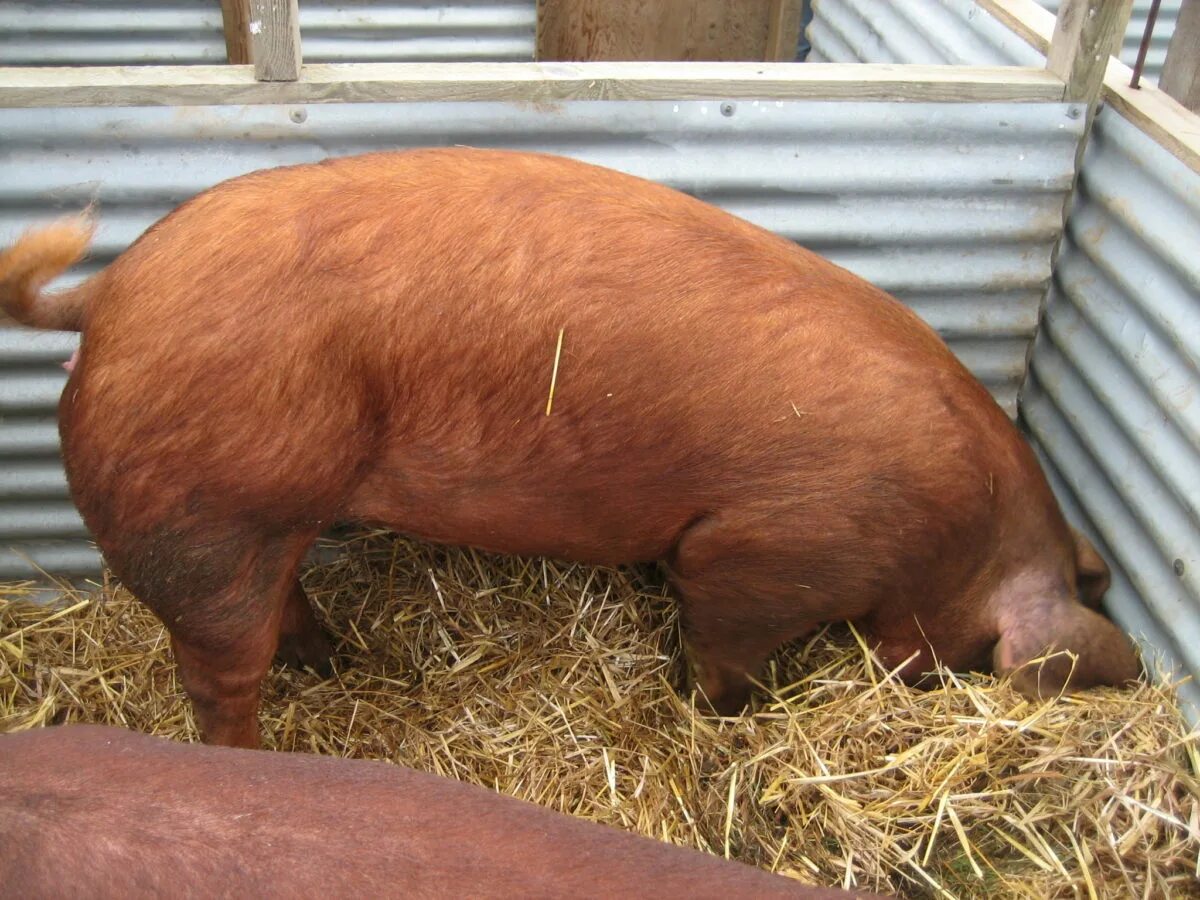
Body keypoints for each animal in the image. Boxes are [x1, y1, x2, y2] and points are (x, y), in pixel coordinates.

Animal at [0, 150, 1137, 748]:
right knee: (218, 670)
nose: (922, 683)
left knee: (286, 606)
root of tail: (108, 295)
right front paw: (719, 715)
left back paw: (347, 660)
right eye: (980, 651)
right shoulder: (763, 552)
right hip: (201, 520)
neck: (954, 533)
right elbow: (722, 650)